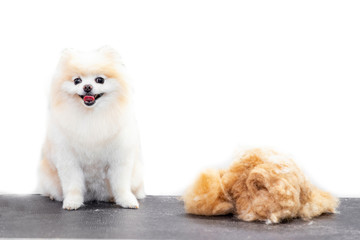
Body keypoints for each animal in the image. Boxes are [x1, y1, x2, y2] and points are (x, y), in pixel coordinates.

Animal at [37, 47, 145, 210]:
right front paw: (72, 201)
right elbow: (73, 184)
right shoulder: (69, 159)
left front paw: (126, 200)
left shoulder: (119, 158)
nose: (87, 87)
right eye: (77, 81)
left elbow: (121, 184)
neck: (92, 115)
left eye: (99, 80)